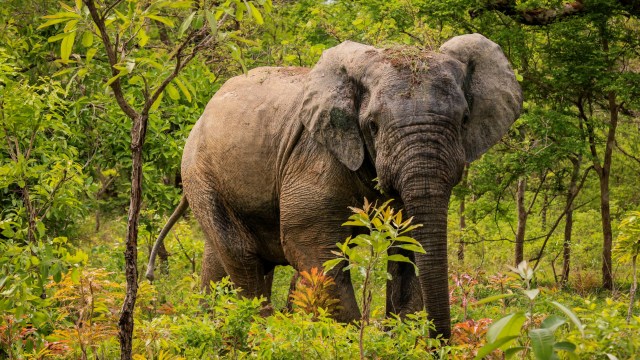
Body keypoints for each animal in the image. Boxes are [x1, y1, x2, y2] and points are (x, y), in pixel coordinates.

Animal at [144, 33, 520, 338]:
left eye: (465, 120)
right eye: (372, 125)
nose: (439, 343)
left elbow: (407, 248)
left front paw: (399, 340)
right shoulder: (314, 154)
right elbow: (313, 247)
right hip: (199, 171)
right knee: (243, 255)